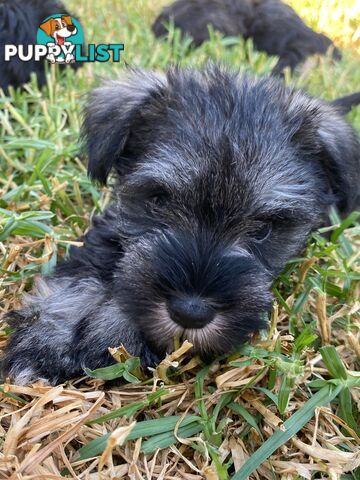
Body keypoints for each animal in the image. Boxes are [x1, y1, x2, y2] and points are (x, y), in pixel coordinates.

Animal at [2, 65, 360, 384]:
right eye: (159, 200)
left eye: (263, 229)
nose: (190, 312)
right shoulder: (106, 237)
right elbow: (74, 284)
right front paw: (43, 347)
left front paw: (112, 330)